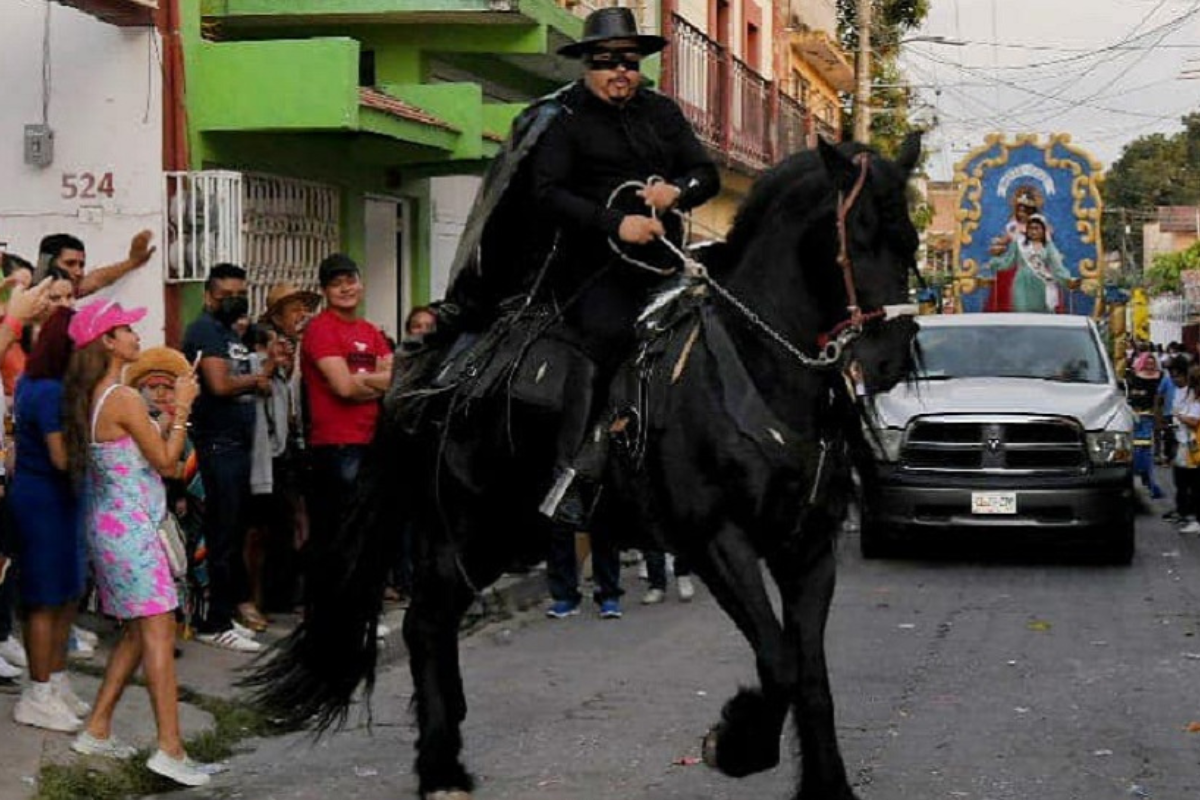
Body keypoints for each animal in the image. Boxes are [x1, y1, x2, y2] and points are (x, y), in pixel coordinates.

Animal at [241, 134, 916, 796]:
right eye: (857, 237)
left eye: (908, 240)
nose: (889, 360)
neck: (757, 370)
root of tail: (434, 361)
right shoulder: (716, 540)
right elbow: (779, 663)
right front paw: (734, 743)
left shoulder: (809, 547)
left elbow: (812, 677)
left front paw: (827, 787)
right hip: (466, 527)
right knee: (425, 622)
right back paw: (440, 770)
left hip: (503, 533)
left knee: (436, 621)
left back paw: (447, 752)